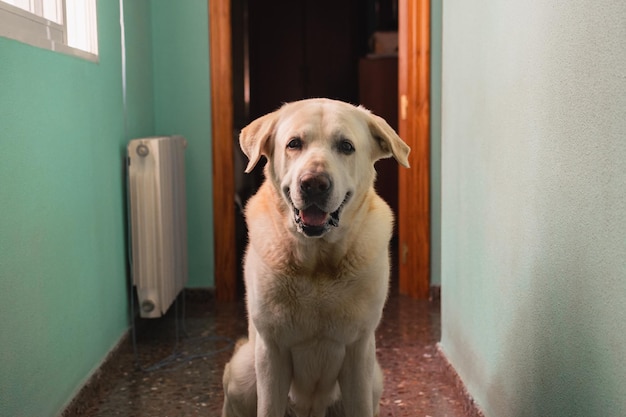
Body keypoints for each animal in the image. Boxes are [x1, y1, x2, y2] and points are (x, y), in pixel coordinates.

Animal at [221, 98, 410, 416]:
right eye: (294, 143)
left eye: (346, 146)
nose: (314, 184)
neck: (317, 263)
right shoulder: (271, 351)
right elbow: (268, 407)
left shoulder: (359, 352)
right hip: (242, 369)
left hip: (374, 377)